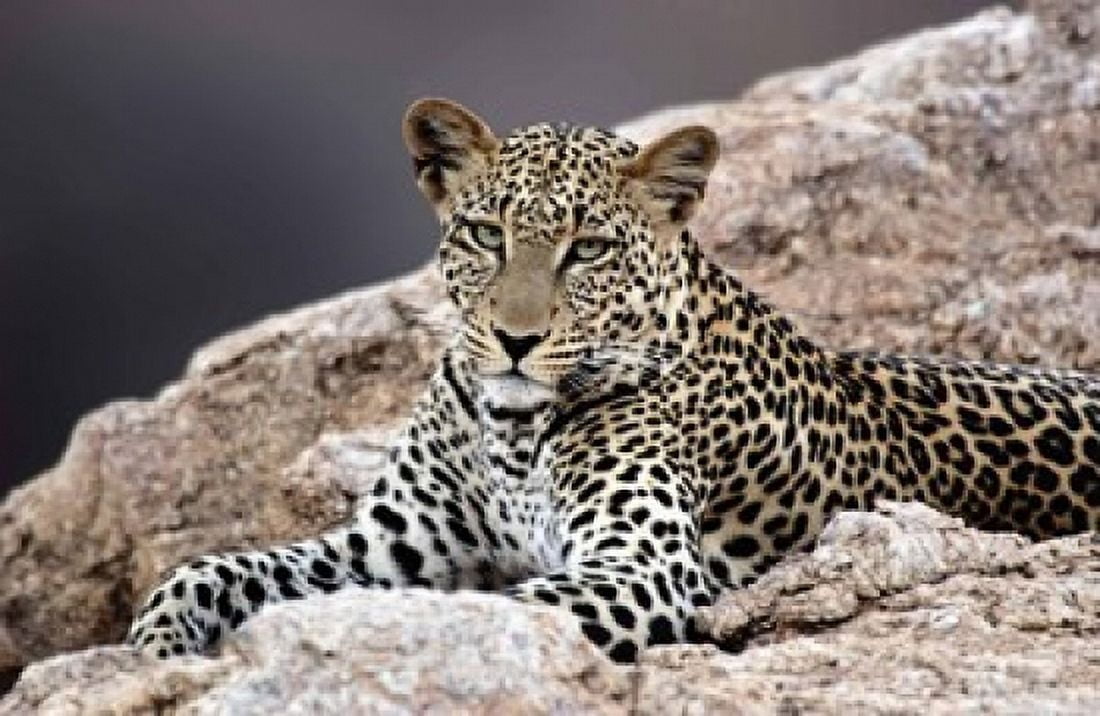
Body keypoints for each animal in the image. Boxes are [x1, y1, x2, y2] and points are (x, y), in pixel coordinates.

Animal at [128, 98, 1100, 664]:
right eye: (486, 235)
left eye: (588, 250)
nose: (515, 340)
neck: (512, 430)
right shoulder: (388, 545)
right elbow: (209, 569)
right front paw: (155, 646)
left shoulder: (645, 567)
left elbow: (501, 611)